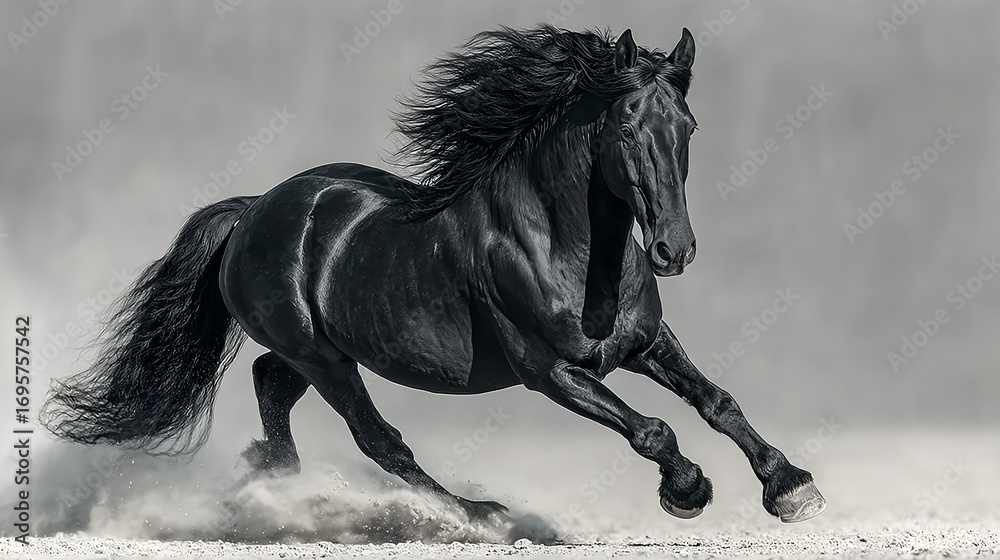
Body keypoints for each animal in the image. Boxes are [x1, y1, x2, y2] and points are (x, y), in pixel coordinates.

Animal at [41, 25, 826, 524]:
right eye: (627, 126)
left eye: (687, 125)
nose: (673, 249)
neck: (570, 251)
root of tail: (254, 211)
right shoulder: (551, 372)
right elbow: (654, 430)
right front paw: (688, 490)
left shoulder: (644, 344)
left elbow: (716, 400)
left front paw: (791, 487)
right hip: (325, 358)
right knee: (379, 440)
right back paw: (476, 513)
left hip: (320, 350)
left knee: (269, 382)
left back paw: (274, 481)